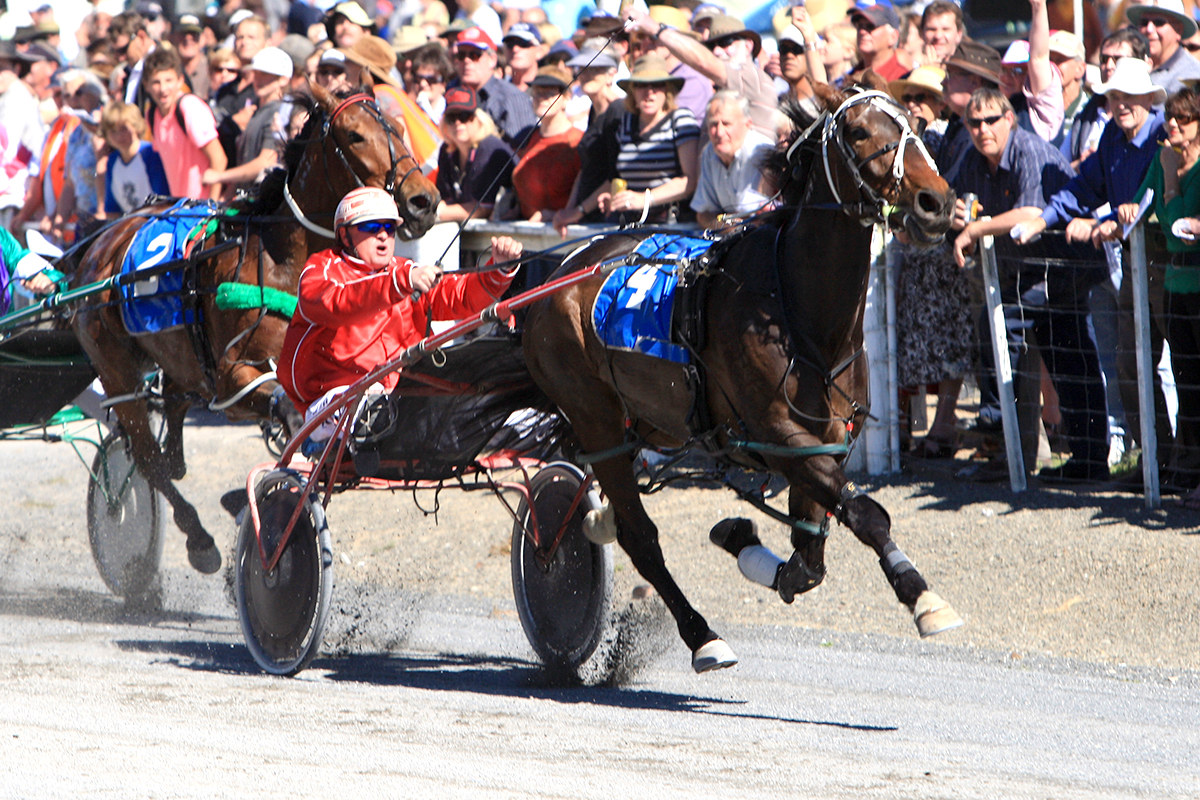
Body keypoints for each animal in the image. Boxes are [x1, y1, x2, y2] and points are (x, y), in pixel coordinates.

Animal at [70, 84, 439, 575]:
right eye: (355, 135)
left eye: (398, 127)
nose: (423, 201)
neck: (282, 262)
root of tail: (99, 245)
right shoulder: (233, 381)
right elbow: (289, 413)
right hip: (117, 370)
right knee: (148, 457)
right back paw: (197, 538)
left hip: (178, 358)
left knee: (172, 414)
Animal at [520, 77, 960, 671]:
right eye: (858, 131)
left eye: (916, 121)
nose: (936, 203)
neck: (799, 313)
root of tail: (559, 273)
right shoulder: (777, 435)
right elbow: (866, 514)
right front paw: (922, 597)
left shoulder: (828, 440)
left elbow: (809, 554)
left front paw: (741, 537)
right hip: (596, 420)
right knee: (639, 536)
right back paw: (701, 635)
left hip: (651, 421)